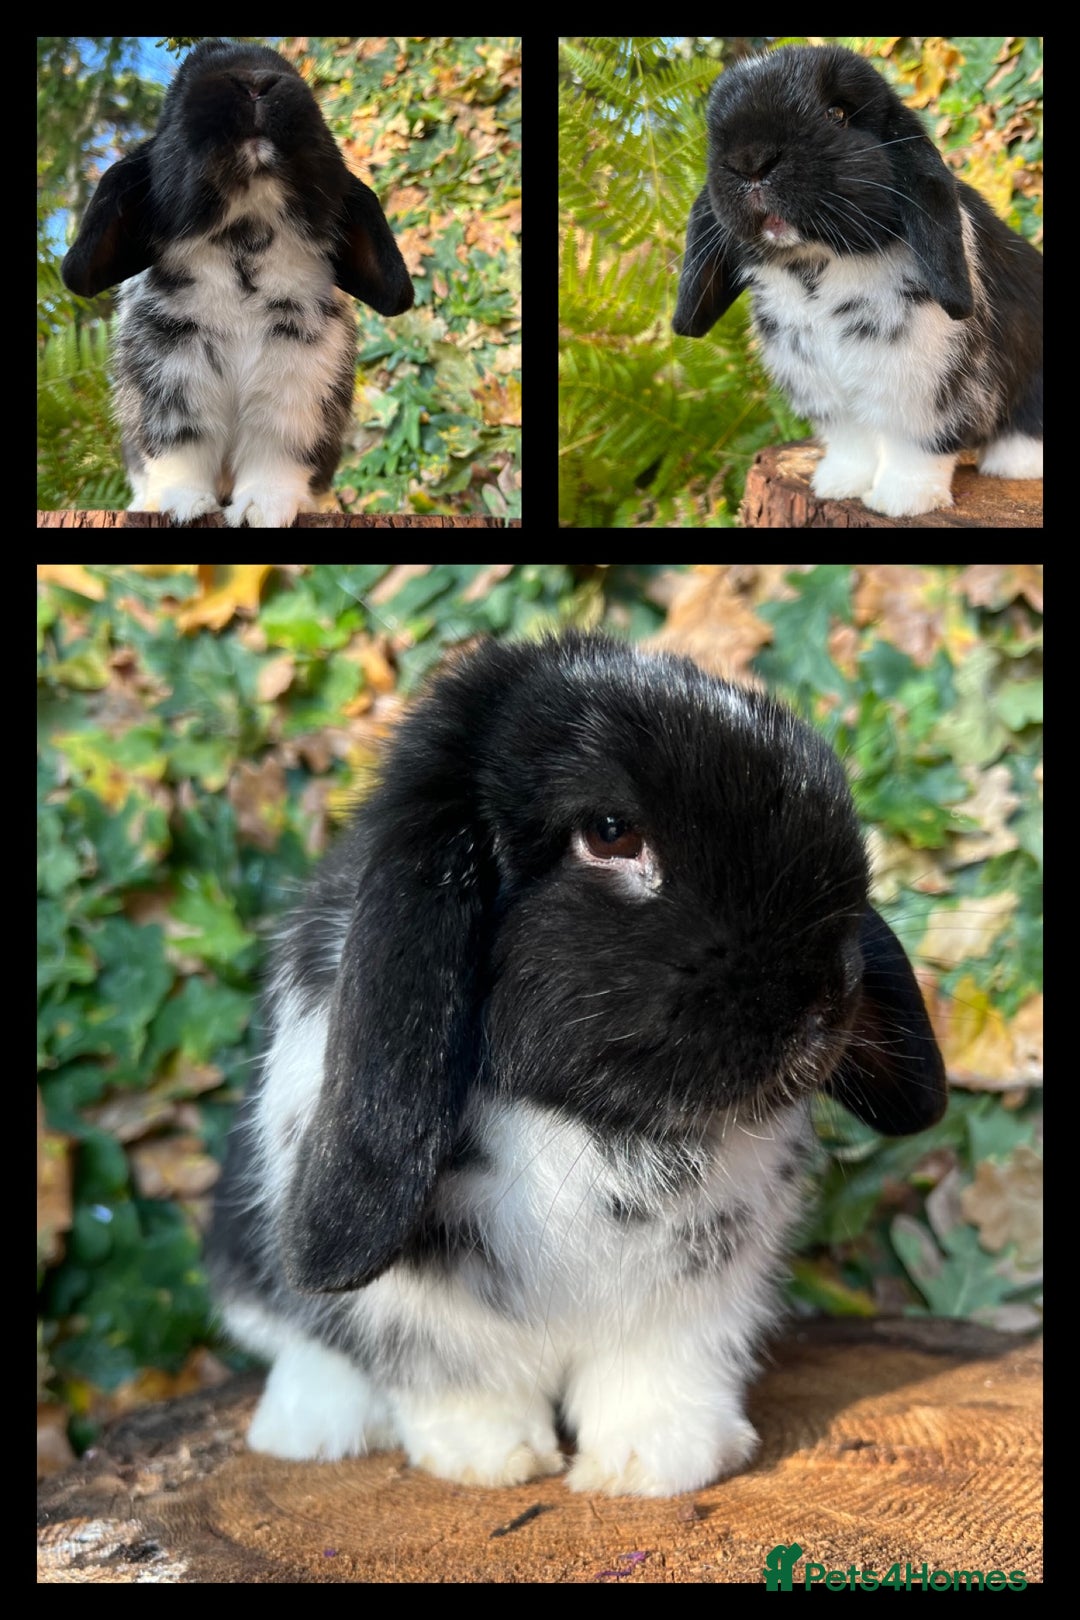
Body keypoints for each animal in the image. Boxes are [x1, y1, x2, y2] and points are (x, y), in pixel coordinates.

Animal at [61, 39, 414, 528]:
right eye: (174, 98)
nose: (254, 81)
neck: (244, 248)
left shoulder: (294, 397)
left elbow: (274, 459)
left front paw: (262, 510)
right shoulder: (171, 390)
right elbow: (181, 453)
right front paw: (184, 507)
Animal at [206, 632, 947, 1498]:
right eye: (611, 832)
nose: (827, 999)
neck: (591, 1125)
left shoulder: (692, 1306)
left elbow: (658, 1379)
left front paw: (653, 1466)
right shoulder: (422, 1321)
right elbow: (453, 1383)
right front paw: (492, 1461)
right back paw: (308, 1431)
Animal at [673, 45, 1043, 519]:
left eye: (838, 113)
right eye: (715, 135)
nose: (750, 161)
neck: (820, 266)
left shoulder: (924, 395)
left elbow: (915, 449)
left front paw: (900, 501)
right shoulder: (831, 398)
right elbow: (855, 446)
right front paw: (836, 485)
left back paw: (1013, 462)